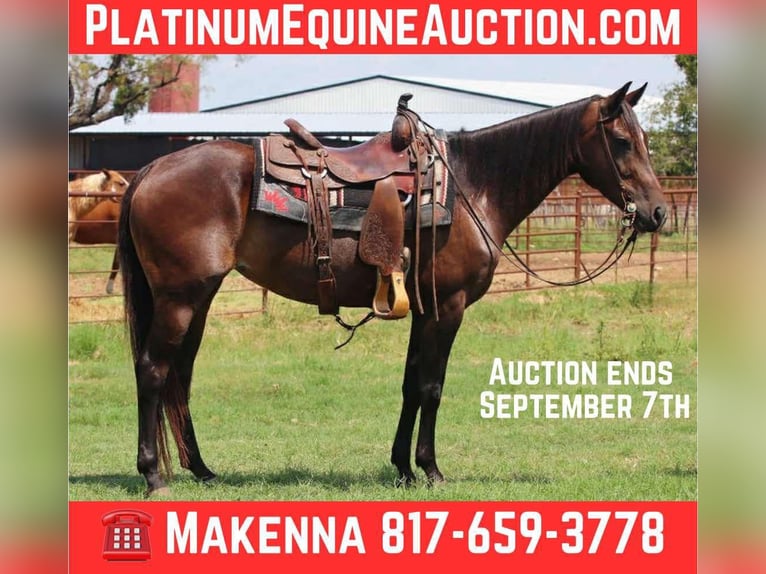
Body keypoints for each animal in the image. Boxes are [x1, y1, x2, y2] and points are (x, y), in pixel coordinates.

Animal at [118, 82, 668, 496]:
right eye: (622, 141)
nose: (658, 212)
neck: (473, 185)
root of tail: (151, 169)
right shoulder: (448, 307)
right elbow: (432, 387)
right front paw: (431, 469)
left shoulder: (423, 309)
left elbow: (410, 385)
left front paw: (402, 467)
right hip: (181, 298)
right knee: (152, 370)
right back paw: (153, 475)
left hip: (197, 298)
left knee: (180, 376)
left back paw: (201, 469)